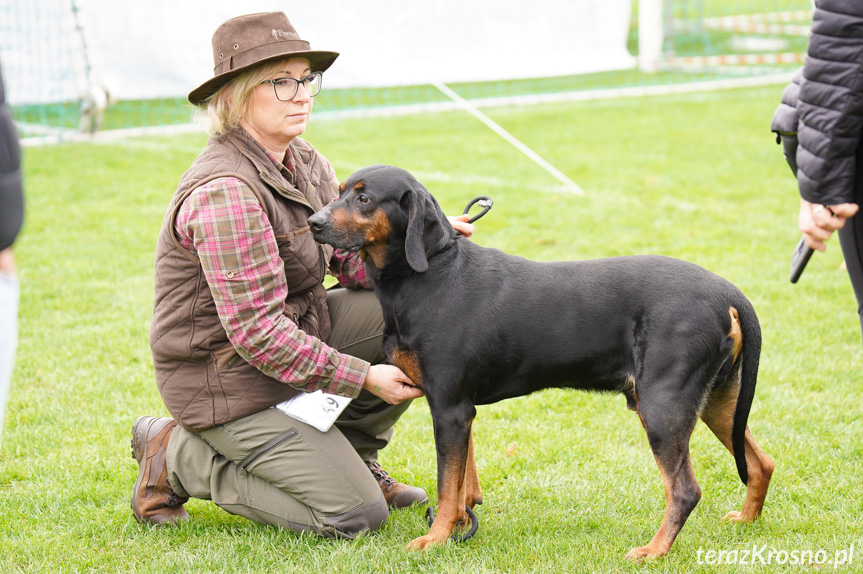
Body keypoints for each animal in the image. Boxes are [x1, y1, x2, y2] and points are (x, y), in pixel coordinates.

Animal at [308, 164, 772, 560]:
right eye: (339, 190)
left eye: (365, 198)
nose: (314, 222)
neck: (429, 274)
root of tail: (729, 293)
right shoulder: (461, 409)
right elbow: (462, 484)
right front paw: (457, 526)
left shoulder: (449, 407)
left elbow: (446, 486)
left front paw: (435, 539)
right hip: (717, 398)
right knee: (760, 462)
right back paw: (745, 522)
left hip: (663, 403)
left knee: (685, 489)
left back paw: (654, 551)